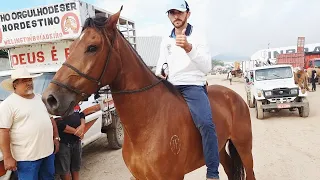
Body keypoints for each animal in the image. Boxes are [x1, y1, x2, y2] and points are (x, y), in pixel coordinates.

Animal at [42, 7, 255, 179]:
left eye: (92, 47)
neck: (148, 123)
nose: (49, 98)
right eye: (71, 48)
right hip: (220, 148)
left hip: (244, 148)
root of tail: (234, 97)